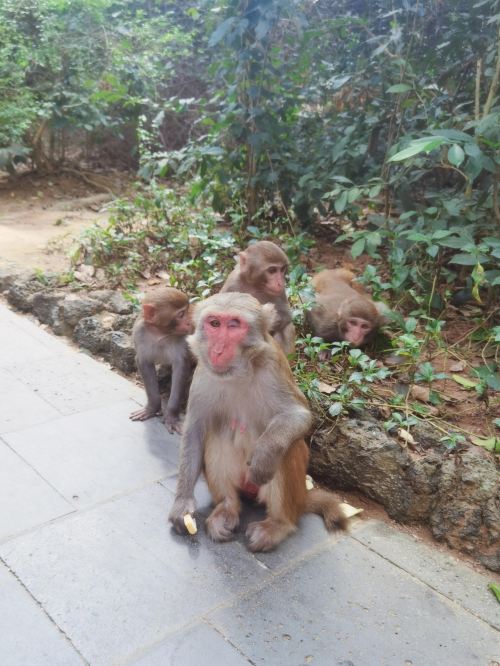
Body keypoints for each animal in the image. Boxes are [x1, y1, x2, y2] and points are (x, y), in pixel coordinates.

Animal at [129, 286, 194, 434]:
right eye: (181, 315)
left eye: (187, 310)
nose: (190, 322)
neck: (161, 334)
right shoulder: (140, 334)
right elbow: (144, 362)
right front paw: (152, 408)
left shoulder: (181, 341)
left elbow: (181, 367)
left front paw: (172, 416)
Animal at [168, 292, 347, 552]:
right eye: (214, 324)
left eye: (234, 325)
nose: (218, 349)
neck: (238, 372)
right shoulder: (203, 373)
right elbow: (195, 430)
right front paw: (182, 504)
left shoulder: (273, 365)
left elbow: (299, 414)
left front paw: (263, 456)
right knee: (217, 436)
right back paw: (227, 508)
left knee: (287, 449)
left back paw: (278, 525)